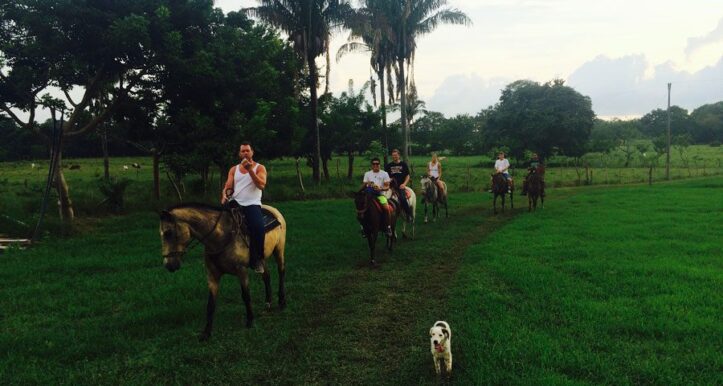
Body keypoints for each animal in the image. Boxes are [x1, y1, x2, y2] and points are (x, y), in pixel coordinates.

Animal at [160, 202, 288, 340]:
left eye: (168, 233)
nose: (169, 265)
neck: (221, 236)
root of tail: (274, 210)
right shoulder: (212, 275)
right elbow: (211, 304)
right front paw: (206, 332)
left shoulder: (241, 271)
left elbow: (246, 296)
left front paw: (250, 320)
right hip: (261, 258)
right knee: (266, 276)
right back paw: (268, 304)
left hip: (279, 249)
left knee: (281, 271)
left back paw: (282, 302)